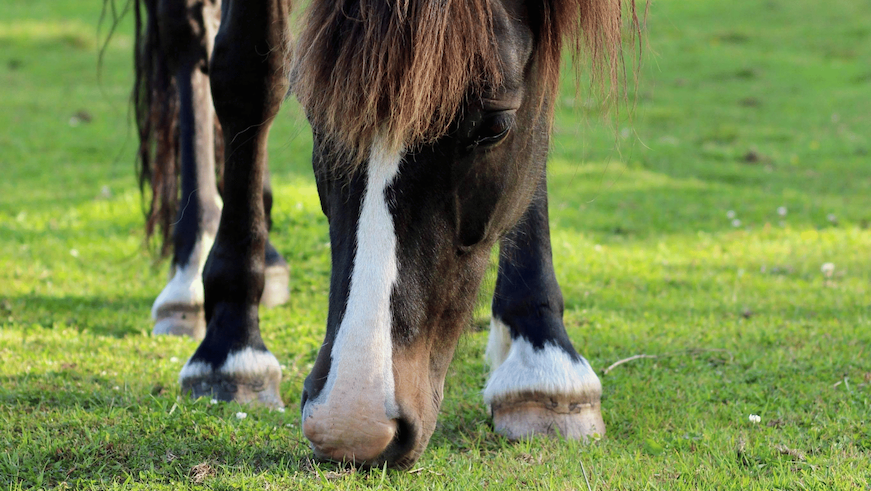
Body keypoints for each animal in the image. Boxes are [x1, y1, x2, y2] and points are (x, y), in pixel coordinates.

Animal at [135, 0, 640, 469]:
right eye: (317, 116)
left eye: (496, 126)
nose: (352, 424)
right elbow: (247, 70)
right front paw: (230, 348)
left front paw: (542, 354)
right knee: (187, 36)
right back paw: (191, 271)